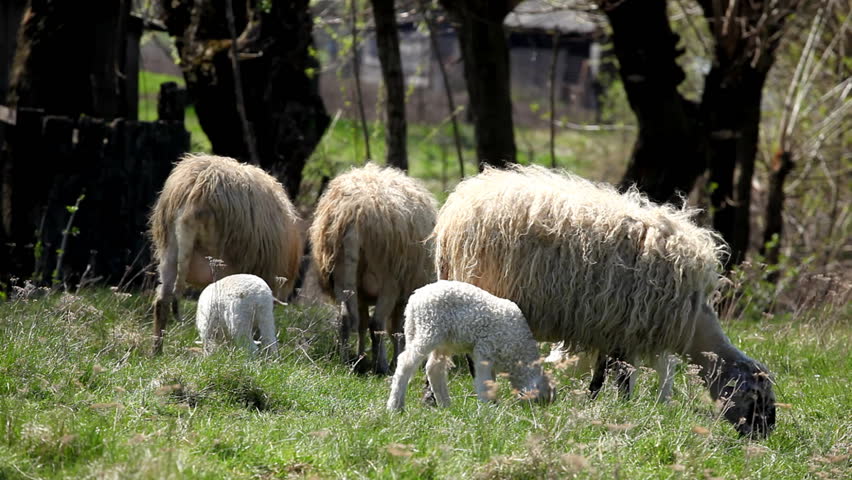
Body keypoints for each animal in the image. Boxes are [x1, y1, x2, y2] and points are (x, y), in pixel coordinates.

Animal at [309, 162, 437, 374]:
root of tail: (355, 214)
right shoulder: (402, 296)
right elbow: (397, 330)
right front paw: (395, 360)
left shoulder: (362, 294)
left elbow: (362, 324)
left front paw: (362, 357)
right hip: (388, 281)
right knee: (377, 323)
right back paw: (382, 366)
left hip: (342, 273)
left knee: (346, 318)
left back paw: (347, 362)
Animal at [387, 280, 554, 411]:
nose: (535, 412)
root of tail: (415, 298)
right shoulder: (484, 350)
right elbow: (484, 380)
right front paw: (489, 406)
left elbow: (491, 380)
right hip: (428, 328)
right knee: (406, 362)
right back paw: (395, 406)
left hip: (440, 339)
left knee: (434, 368)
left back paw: (445, 405)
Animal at [433, 165, 776, 437]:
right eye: (757, 397)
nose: (764, 433)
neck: (696, 327)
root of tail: (459, 202)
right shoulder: (627, 328)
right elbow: (622, 376)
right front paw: (623, 409)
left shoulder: (608, 328)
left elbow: (601, 375)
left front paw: (594, 403)